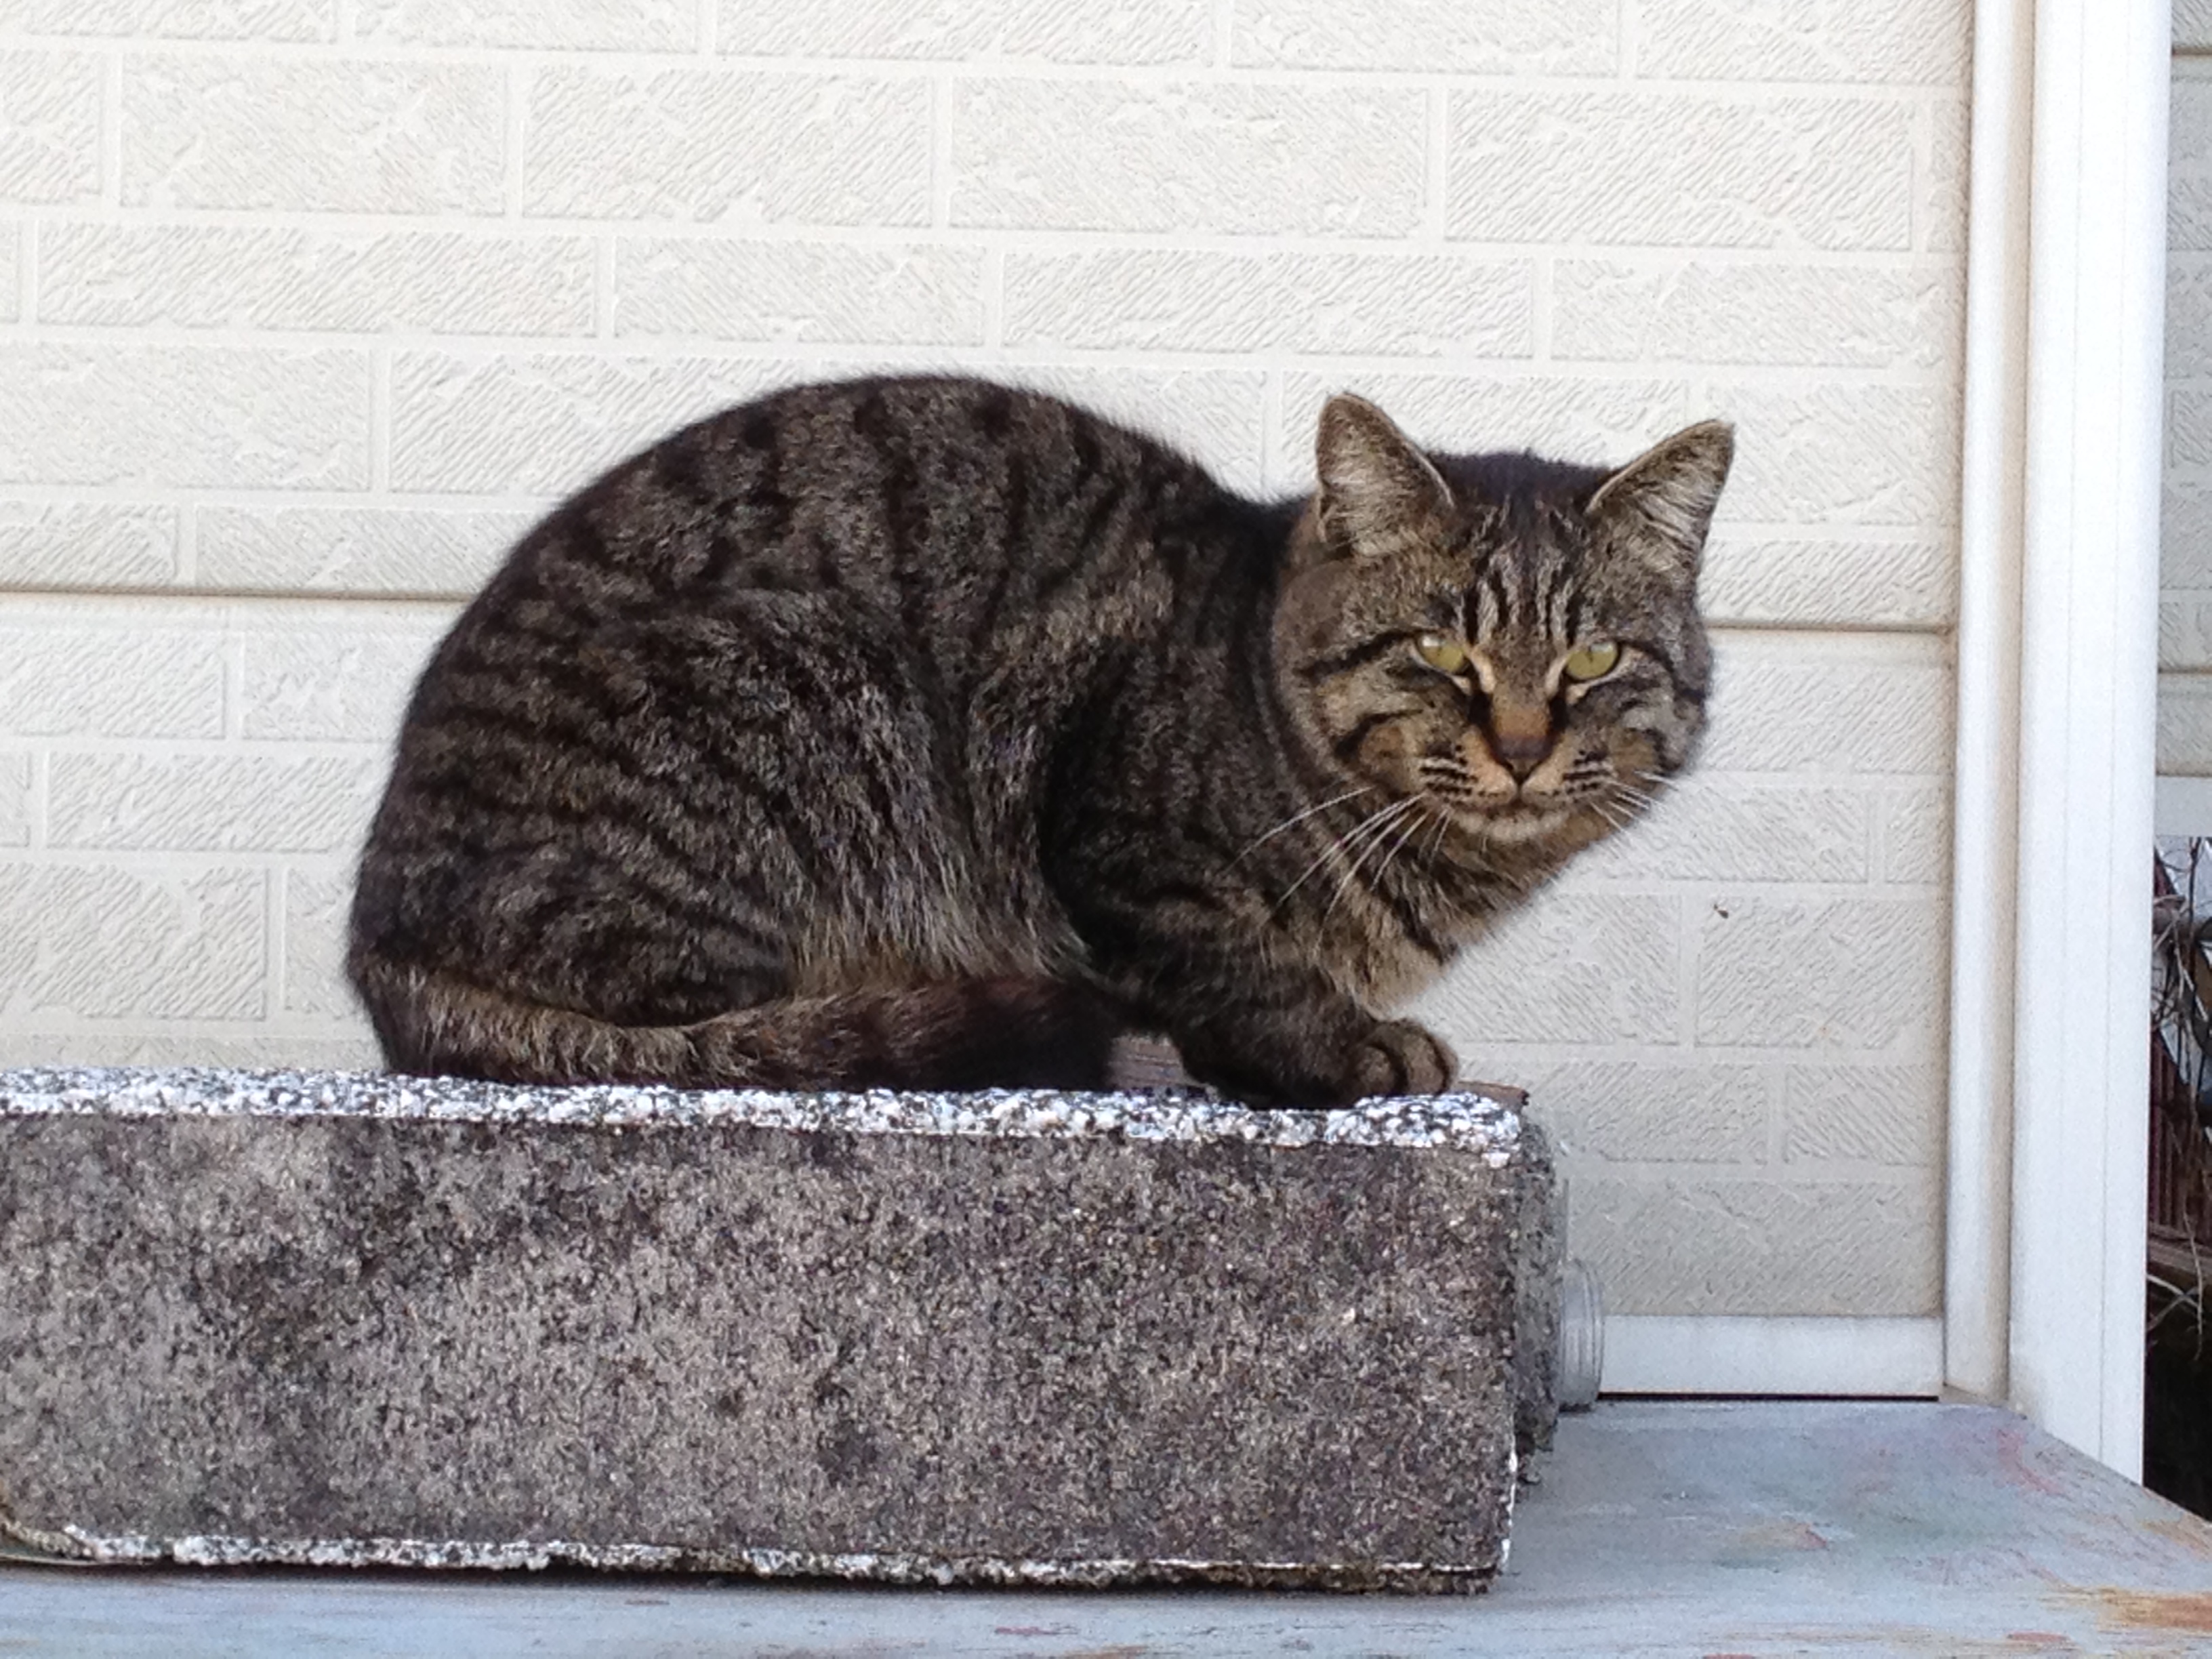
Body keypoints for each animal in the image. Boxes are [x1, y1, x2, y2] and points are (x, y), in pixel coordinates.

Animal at [348, 376, 1730, 1107]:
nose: (1520, 746)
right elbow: (1234, 962)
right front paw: (1338, 1043)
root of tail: (377, 948)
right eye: (1442, 654)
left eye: (1591, 661)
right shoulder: (1111, 822)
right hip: (819, 678)